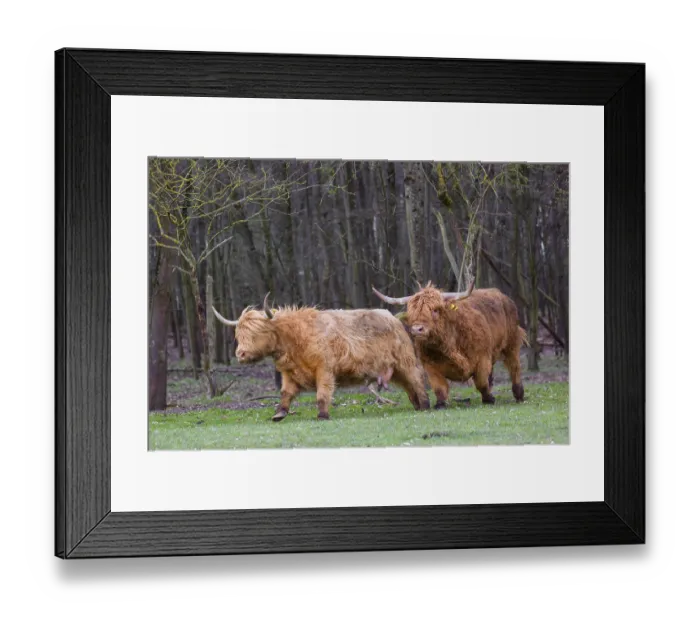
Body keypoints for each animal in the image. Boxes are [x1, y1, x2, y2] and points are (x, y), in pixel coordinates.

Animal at [211, 294, 430, 421]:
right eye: (239, 335)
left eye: (258, 332)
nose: (240, 354)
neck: (294, 340)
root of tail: (394, 318)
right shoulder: (289, 373)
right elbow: (285, 393)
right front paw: (279, 413)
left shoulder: (324, 369)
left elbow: (322, 393)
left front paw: (322, 415)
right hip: (393, 370)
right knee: (409, 385)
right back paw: (417, 406)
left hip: (405, 361)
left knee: (417, 379)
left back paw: (426, 405)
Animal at [372, 282, 528, 408]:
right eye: (411, 313)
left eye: (435, 310)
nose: (417, 329)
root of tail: (502, 296)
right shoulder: (430, 367)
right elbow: (439, 388)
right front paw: (441, 404)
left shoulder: (482, 358)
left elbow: (481, 382)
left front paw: (489, 399)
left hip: (512, 343)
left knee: (514, 366)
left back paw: (519, 394)